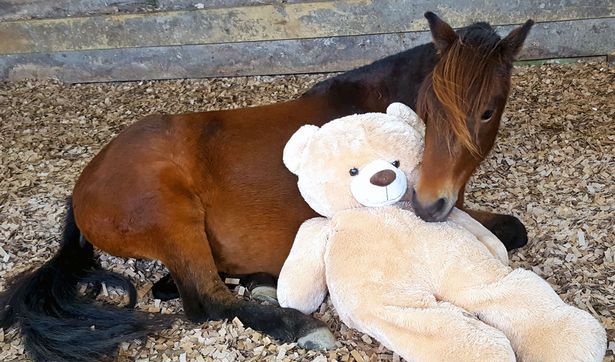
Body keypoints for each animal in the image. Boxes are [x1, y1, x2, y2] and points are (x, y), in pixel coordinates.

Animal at [0, 12, 532, 360]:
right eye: (431, 107)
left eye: (488, 111)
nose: (428, 203)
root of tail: (83, 186)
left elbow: (514, 228)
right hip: (172, 214)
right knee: (205, 300)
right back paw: (297, 324)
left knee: (176, 286)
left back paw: (261, 284)